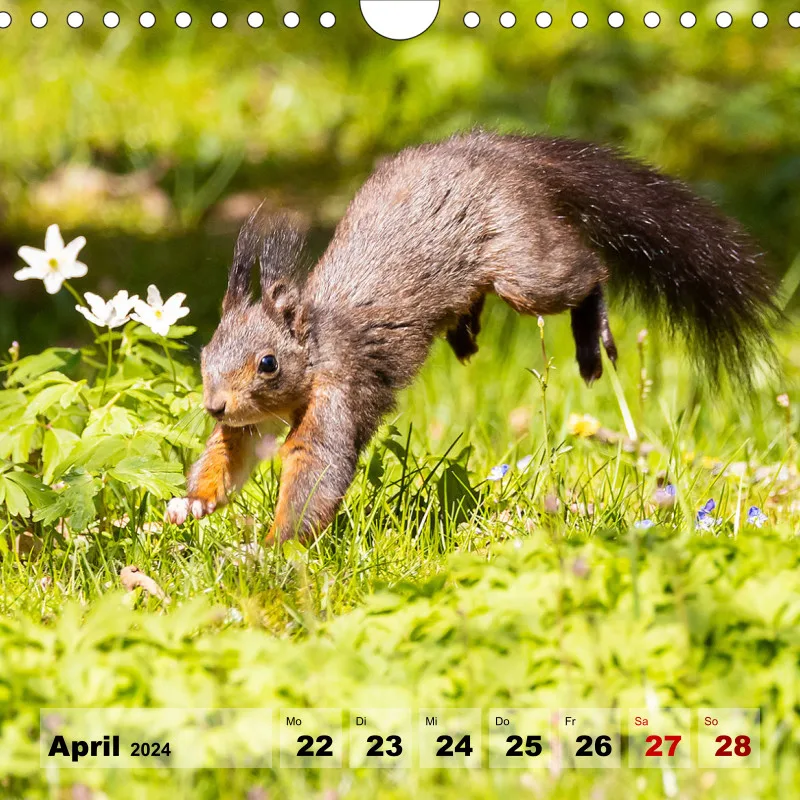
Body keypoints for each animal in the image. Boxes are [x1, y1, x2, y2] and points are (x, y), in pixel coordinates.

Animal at [166, 131, 779, 542]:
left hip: (524, 266)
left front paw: (270, 549)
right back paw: (464, 332)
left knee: (585, 271)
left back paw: (590, 331)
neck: (314, 351)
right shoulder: (249, 424)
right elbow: (229, 456)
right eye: (207, 354)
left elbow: (316, 465)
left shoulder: (340, 388)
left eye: (268, 363)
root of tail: (501, 153)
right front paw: (189, 506)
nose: (215, 405)